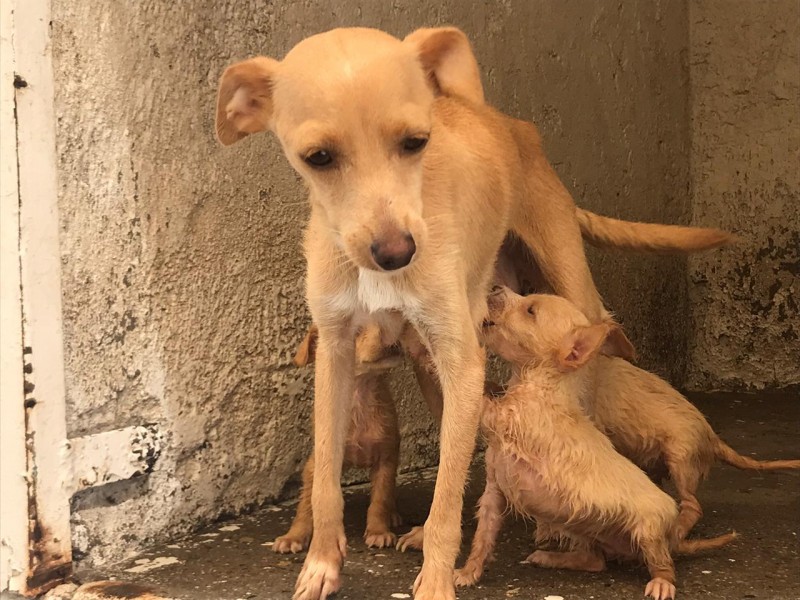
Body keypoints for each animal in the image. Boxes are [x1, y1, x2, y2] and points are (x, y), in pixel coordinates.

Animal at [276, 324, 404, 552]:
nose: (395, 339)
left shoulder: (386, 459)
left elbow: (380, 500)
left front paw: (378, 531)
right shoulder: (316, 464)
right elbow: (305, 505)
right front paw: (294, 536)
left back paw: (393, 515)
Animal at [456, 288, 736, 596]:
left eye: (530, 310)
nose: (495, 289)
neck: (540, 382)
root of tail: (674, 539)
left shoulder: (507, 415)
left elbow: (480, 395)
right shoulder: (494, 492)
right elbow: (482, 538)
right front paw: (467, 573)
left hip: (648, 527)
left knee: (661, 561)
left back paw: (662, 583)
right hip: (580, 526)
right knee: (594, 561)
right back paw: (549, 557)